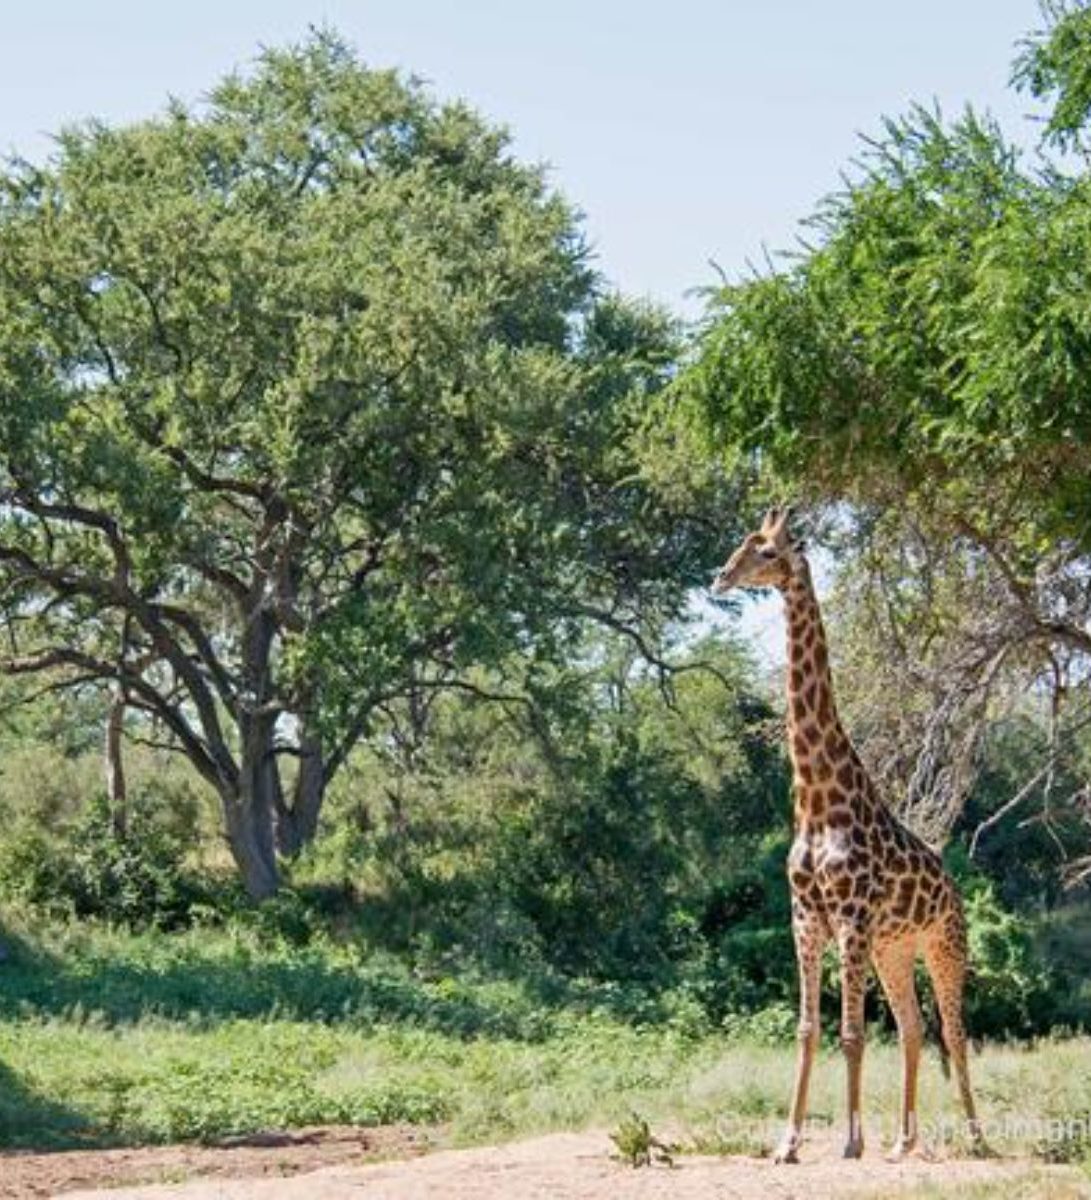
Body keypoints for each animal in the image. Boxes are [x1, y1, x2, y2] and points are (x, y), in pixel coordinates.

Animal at [711, 506, 982, 1163]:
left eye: (766, 551)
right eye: (743, 545)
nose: (720, 577)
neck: (815, 802)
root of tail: (954, 888)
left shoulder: (851, 918)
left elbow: (853, 1033)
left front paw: (852, 1143)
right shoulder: (807, 916)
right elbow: (809, 1029)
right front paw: (787, 1144)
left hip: (944, 944)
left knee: (955, 1033)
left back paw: (977, 1138)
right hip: (895, 950)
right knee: (914, 1029)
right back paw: (904, 1143)